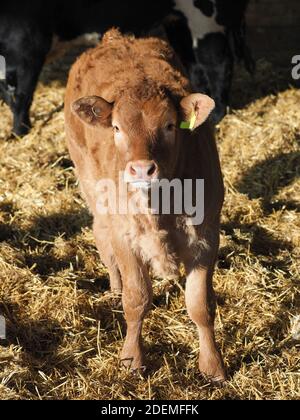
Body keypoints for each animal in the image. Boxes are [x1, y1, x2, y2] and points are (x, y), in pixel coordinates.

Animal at [0, 0, 253, 136]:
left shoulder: (27, 48)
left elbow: (22, 96)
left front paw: (19, 132)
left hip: (206, 22)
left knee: (219, 64)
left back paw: (217, 116)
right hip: (179, 24)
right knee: (196, 66)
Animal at [65, 28, 225, 384]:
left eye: (169, 125)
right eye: (116, 127)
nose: (141, 169)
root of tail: (116, 37)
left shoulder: (206, 236)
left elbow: (200, 305)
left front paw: (213, 365)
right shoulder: (126, 237)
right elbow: (136, 300)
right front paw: (131, 359)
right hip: (91, 186)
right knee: (101, 236)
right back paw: (114, 286)